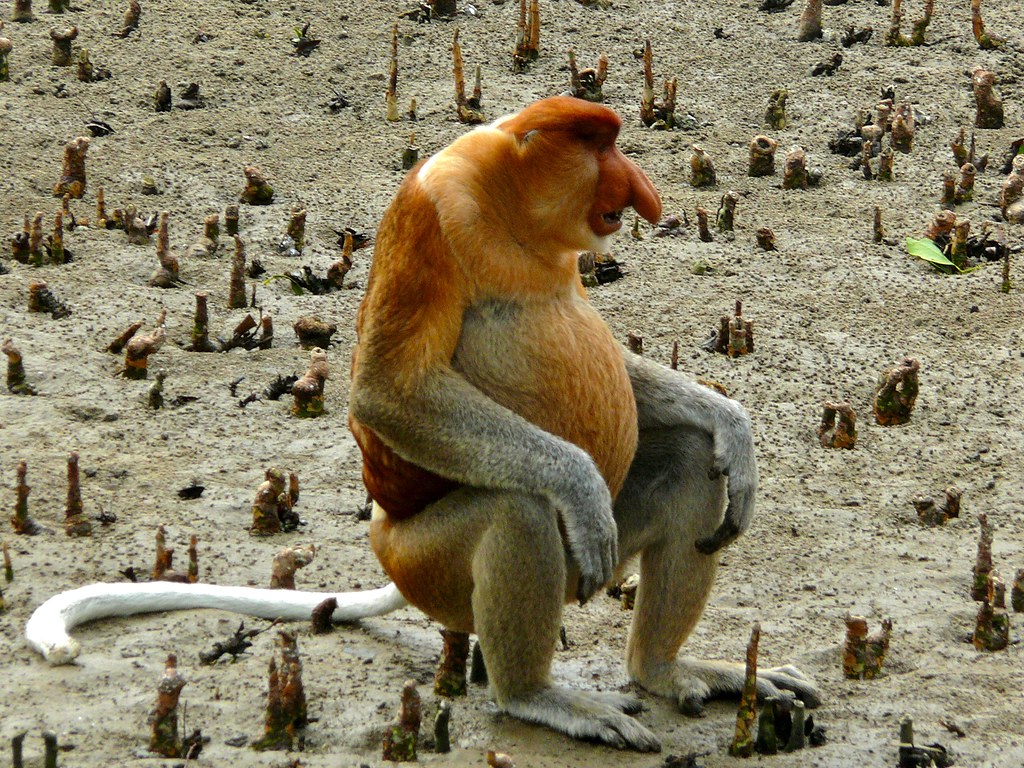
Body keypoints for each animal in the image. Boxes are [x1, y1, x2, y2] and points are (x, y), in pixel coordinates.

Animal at [26, 97, 819, 751]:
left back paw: (667, 668)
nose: (640, 190)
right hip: (429, 563)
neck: (510, 207)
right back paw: (539, 695)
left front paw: (732, 425)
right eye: (600, 145)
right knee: (520, 513)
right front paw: (582, 490)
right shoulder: (435, 215)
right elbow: (390, 391)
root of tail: (387, 540)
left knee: (687, 463)